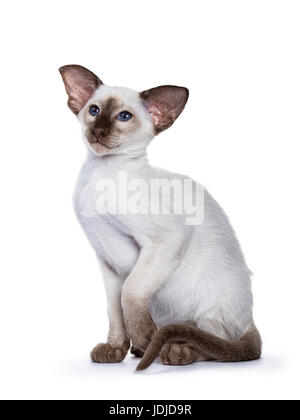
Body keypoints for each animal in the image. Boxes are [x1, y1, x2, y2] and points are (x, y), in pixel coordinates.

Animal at [59, 64, 262, 370]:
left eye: (124, 117)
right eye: (94, 111)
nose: (98, 131)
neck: (101, 175)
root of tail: (249, 319)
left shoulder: (164, 241)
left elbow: (130, 293)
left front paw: (144, 336)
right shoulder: (106, 259)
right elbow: (115, 310)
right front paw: (115, 349)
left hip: (210, 306)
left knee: (216, 344)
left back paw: (173, 351)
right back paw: (143, 350)